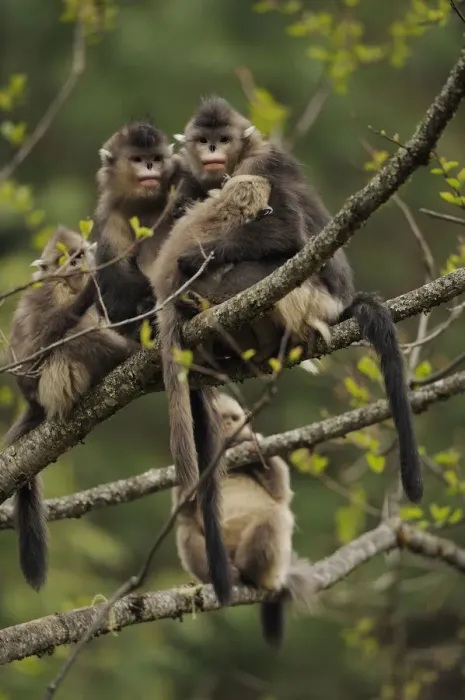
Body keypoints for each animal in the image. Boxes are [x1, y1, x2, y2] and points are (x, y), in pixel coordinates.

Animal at [4, 227, 138, 591]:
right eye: (67, 258)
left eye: (80, 254)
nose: (79, 264)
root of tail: (34, 404)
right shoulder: (49, 295)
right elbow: (38, 345)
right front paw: (93, 288)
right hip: (58, 381)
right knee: (72, 336)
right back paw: (125, 352)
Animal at [92, 120, 182, 340]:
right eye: (138, 159)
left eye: (156, 158)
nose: (149, 165)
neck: (144, 205)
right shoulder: (113, 216)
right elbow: (114, 277)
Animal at [166, 95, 423, 505]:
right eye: (204, 139)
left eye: (223, 139)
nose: (212, 150)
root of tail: (340, 303)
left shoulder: (262, 166)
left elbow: (286, 230)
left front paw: (194, 258)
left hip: (309, 299)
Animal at [172, 392, 316, 648]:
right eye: (222, 418)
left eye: (234, 418)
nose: (230, 427)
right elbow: (184, 509)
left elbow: (280, 493)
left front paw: (246, 441)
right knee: (186, 528)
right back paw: (225, 577)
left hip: (272, 568)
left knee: (274, 516)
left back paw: (250, 576)